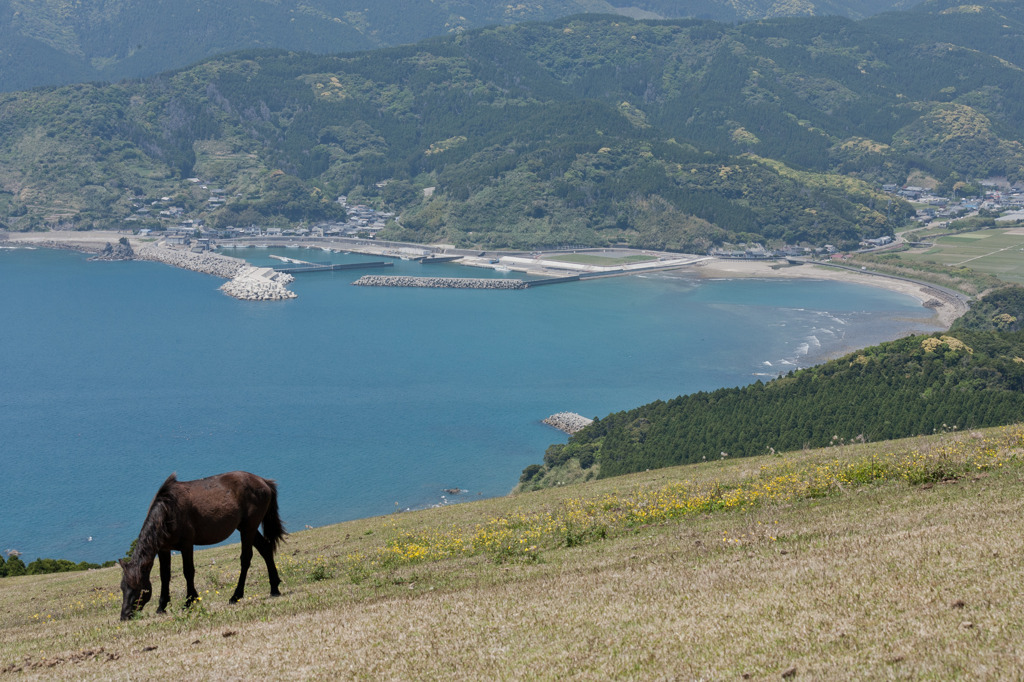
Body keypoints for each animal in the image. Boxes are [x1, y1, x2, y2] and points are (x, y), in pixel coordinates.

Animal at [118, 471, 286, 618]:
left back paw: (236, 595)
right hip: (247, 528)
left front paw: (190, 601)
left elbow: (188, 571)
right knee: (265, 549)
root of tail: (264, 482)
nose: (124, 616)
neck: (168, 511)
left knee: (246, 558)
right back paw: (274, 588)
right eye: (122, 587)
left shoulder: (186, 545)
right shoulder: (164, 549)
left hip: (248, 529)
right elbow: (164, 576)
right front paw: (161, 606)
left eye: (138, 588)